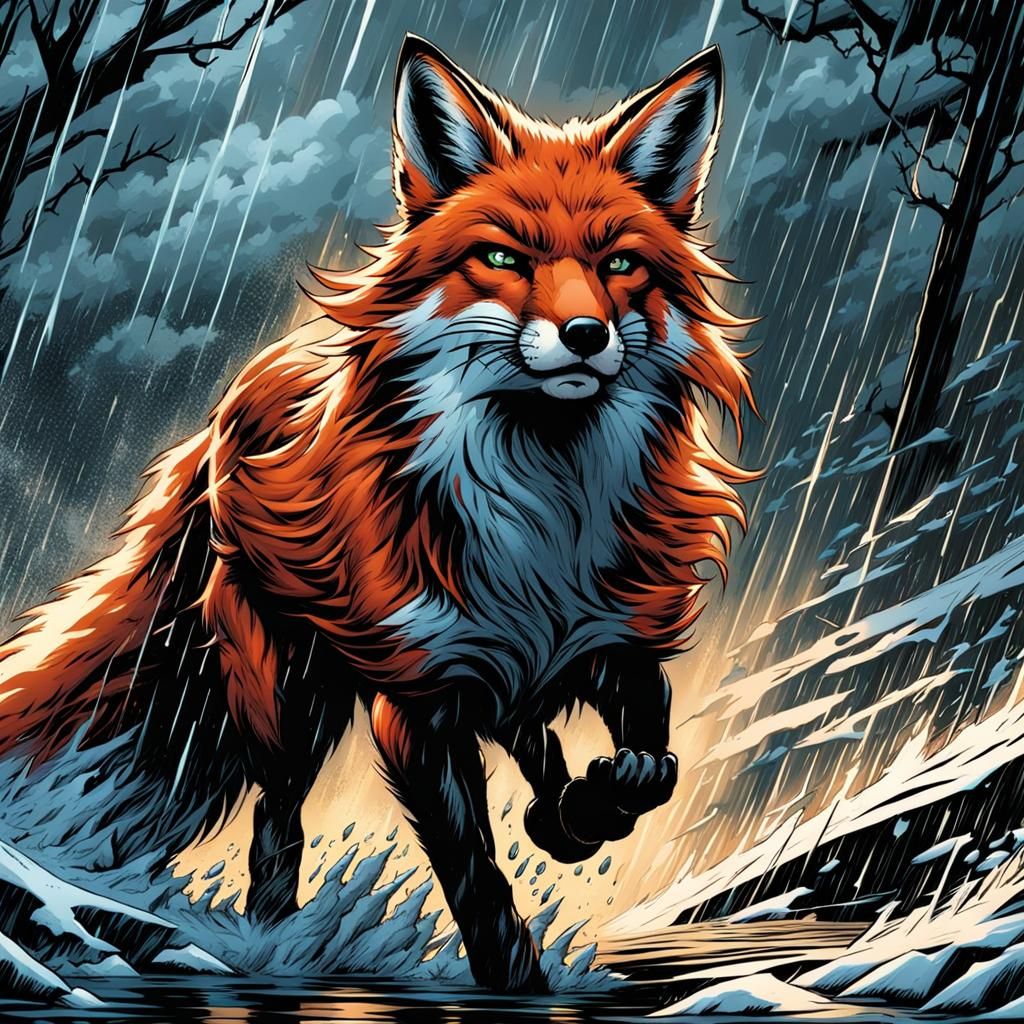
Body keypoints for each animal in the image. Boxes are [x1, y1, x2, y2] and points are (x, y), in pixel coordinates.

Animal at [0, 36, 754, 991]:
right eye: (503, 259)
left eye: (620, 265)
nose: (586, 335)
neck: (543, 524)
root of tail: (224, 409)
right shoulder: (420, 702)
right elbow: (475, 877)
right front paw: (516, 976)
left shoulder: (615, 639)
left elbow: (652, 764)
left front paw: (588, 810)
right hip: (287, 703)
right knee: (277, 825)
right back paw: (272, 941)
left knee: (530, 739)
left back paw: (559, 815)